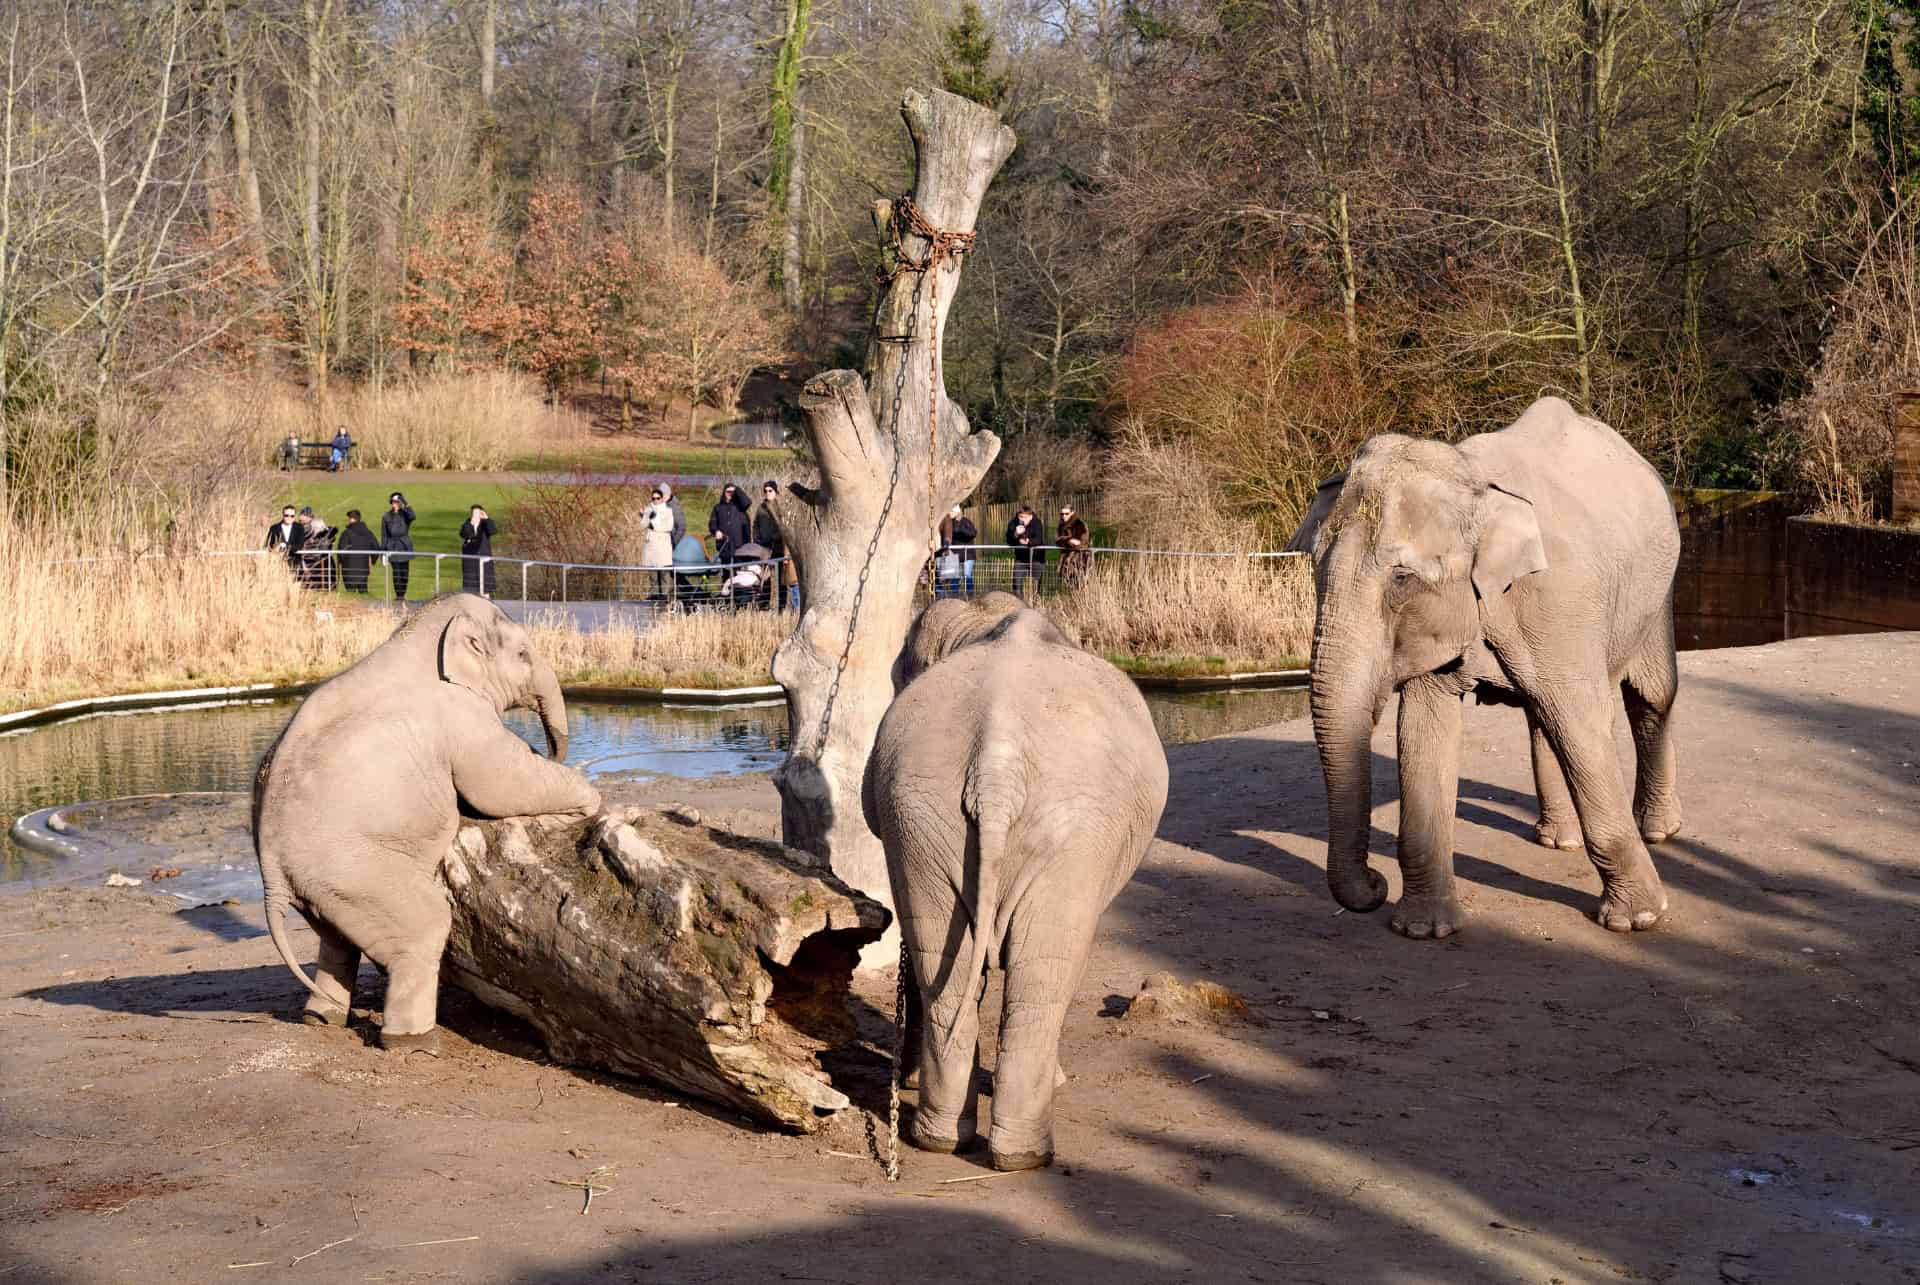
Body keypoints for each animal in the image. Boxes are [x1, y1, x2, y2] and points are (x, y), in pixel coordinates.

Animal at [252, 593, 601, 1051]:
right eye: (523, 655)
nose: (549, 750)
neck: (418, 634)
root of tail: (272, 876)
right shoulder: (461, 717)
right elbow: (500, 780)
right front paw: (589, 800)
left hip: (327, 888)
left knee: (335, 941)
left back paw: (322, 1018)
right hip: (357, 873)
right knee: (424, 928)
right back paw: (413, 1042)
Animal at [863, 592, 1169, 1171]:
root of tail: (996, 764)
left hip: (922, 810)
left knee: (945, 965)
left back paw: (940, 1140)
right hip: (1068, 833)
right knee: (1045, 974)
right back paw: (1025, 1155)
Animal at [1287, 396, 1681, 939]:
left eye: (1402, 578)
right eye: (1314, 567)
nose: (1374, 884)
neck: (1471, 477)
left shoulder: (1559, 601)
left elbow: (1582, 724)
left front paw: (1636, 920)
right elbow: (1425, 729)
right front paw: (1424, 930)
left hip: (1658, 593)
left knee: (1650, 697)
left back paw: (1659, 830)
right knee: (1542, 714)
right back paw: (1558, 840)